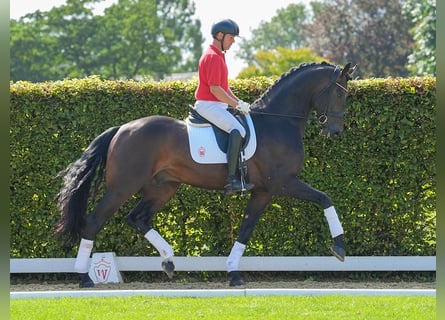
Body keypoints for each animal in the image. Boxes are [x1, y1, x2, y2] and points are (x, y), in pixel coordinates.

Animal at [55, 61, 356, 286]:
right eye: (341, 94)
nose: (335, 132)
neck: (277, 123)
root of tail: (121, 129)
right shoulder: (282, 183)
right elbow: (325, 198)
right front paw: (339, 248)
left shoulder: (262, 191)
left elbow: (246, 229)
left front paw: (234, 273)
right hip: (123, 187)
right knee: (95, 221)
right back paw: (84, 278)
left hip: (162, 188)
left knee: (138, 218)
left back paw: (168, 260)